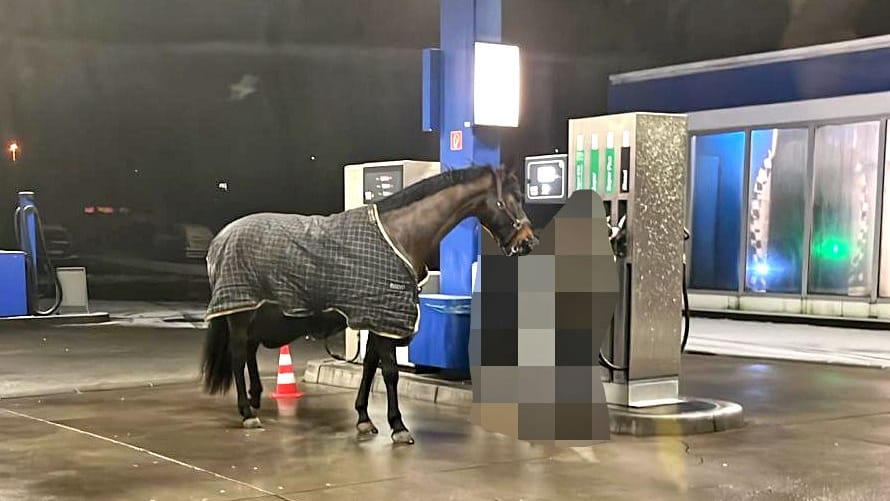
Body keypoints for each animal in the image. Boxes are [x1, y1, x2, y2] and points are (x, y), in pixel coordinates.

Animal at [199, 162, 536, 444]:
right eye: (513, 198)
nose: (528, 242)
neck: (399, 235)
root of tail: (220, 239)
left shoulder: (377, 317)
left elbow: (370, 368)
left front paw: (363, 418)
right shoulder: (384, 318)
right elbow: (390, 373)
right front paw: (398, 426)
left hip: (257, 312)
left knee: (249, 352)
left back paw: (255, 399)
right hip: (241, 313)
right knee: (238, 355)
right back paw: (247, 412)